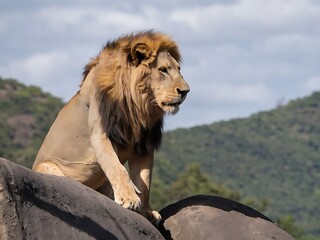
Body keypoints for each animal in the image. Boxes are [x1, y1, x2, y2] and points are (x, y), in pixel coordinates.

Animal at [32, 30, 189, 225]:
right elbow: (118, 168)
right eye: (163, 70)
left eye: (179, 69)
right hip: (47, 167)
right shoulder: (101, 133)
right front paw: (129, 198)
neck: (139, 105)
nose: (185, 91)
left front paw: (146, 211)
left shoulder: (143, 144)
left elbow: (145, 180)